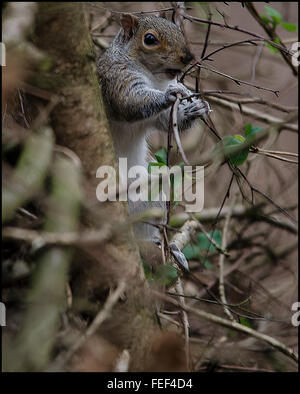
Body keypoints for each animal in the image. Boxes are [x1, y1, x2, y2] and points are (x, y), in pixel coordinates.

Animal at [97, 13, 210, 264]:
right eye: (150, 39)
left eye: (178, 30)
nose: (187, 56)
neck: (153, 77)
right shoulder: (116, 78)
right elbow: (131, 101)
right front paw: (170, 93)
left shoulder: (158, 117)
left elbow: (166, 120)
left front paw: (195, 107)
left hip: (150, 196)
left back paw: (169, 249)